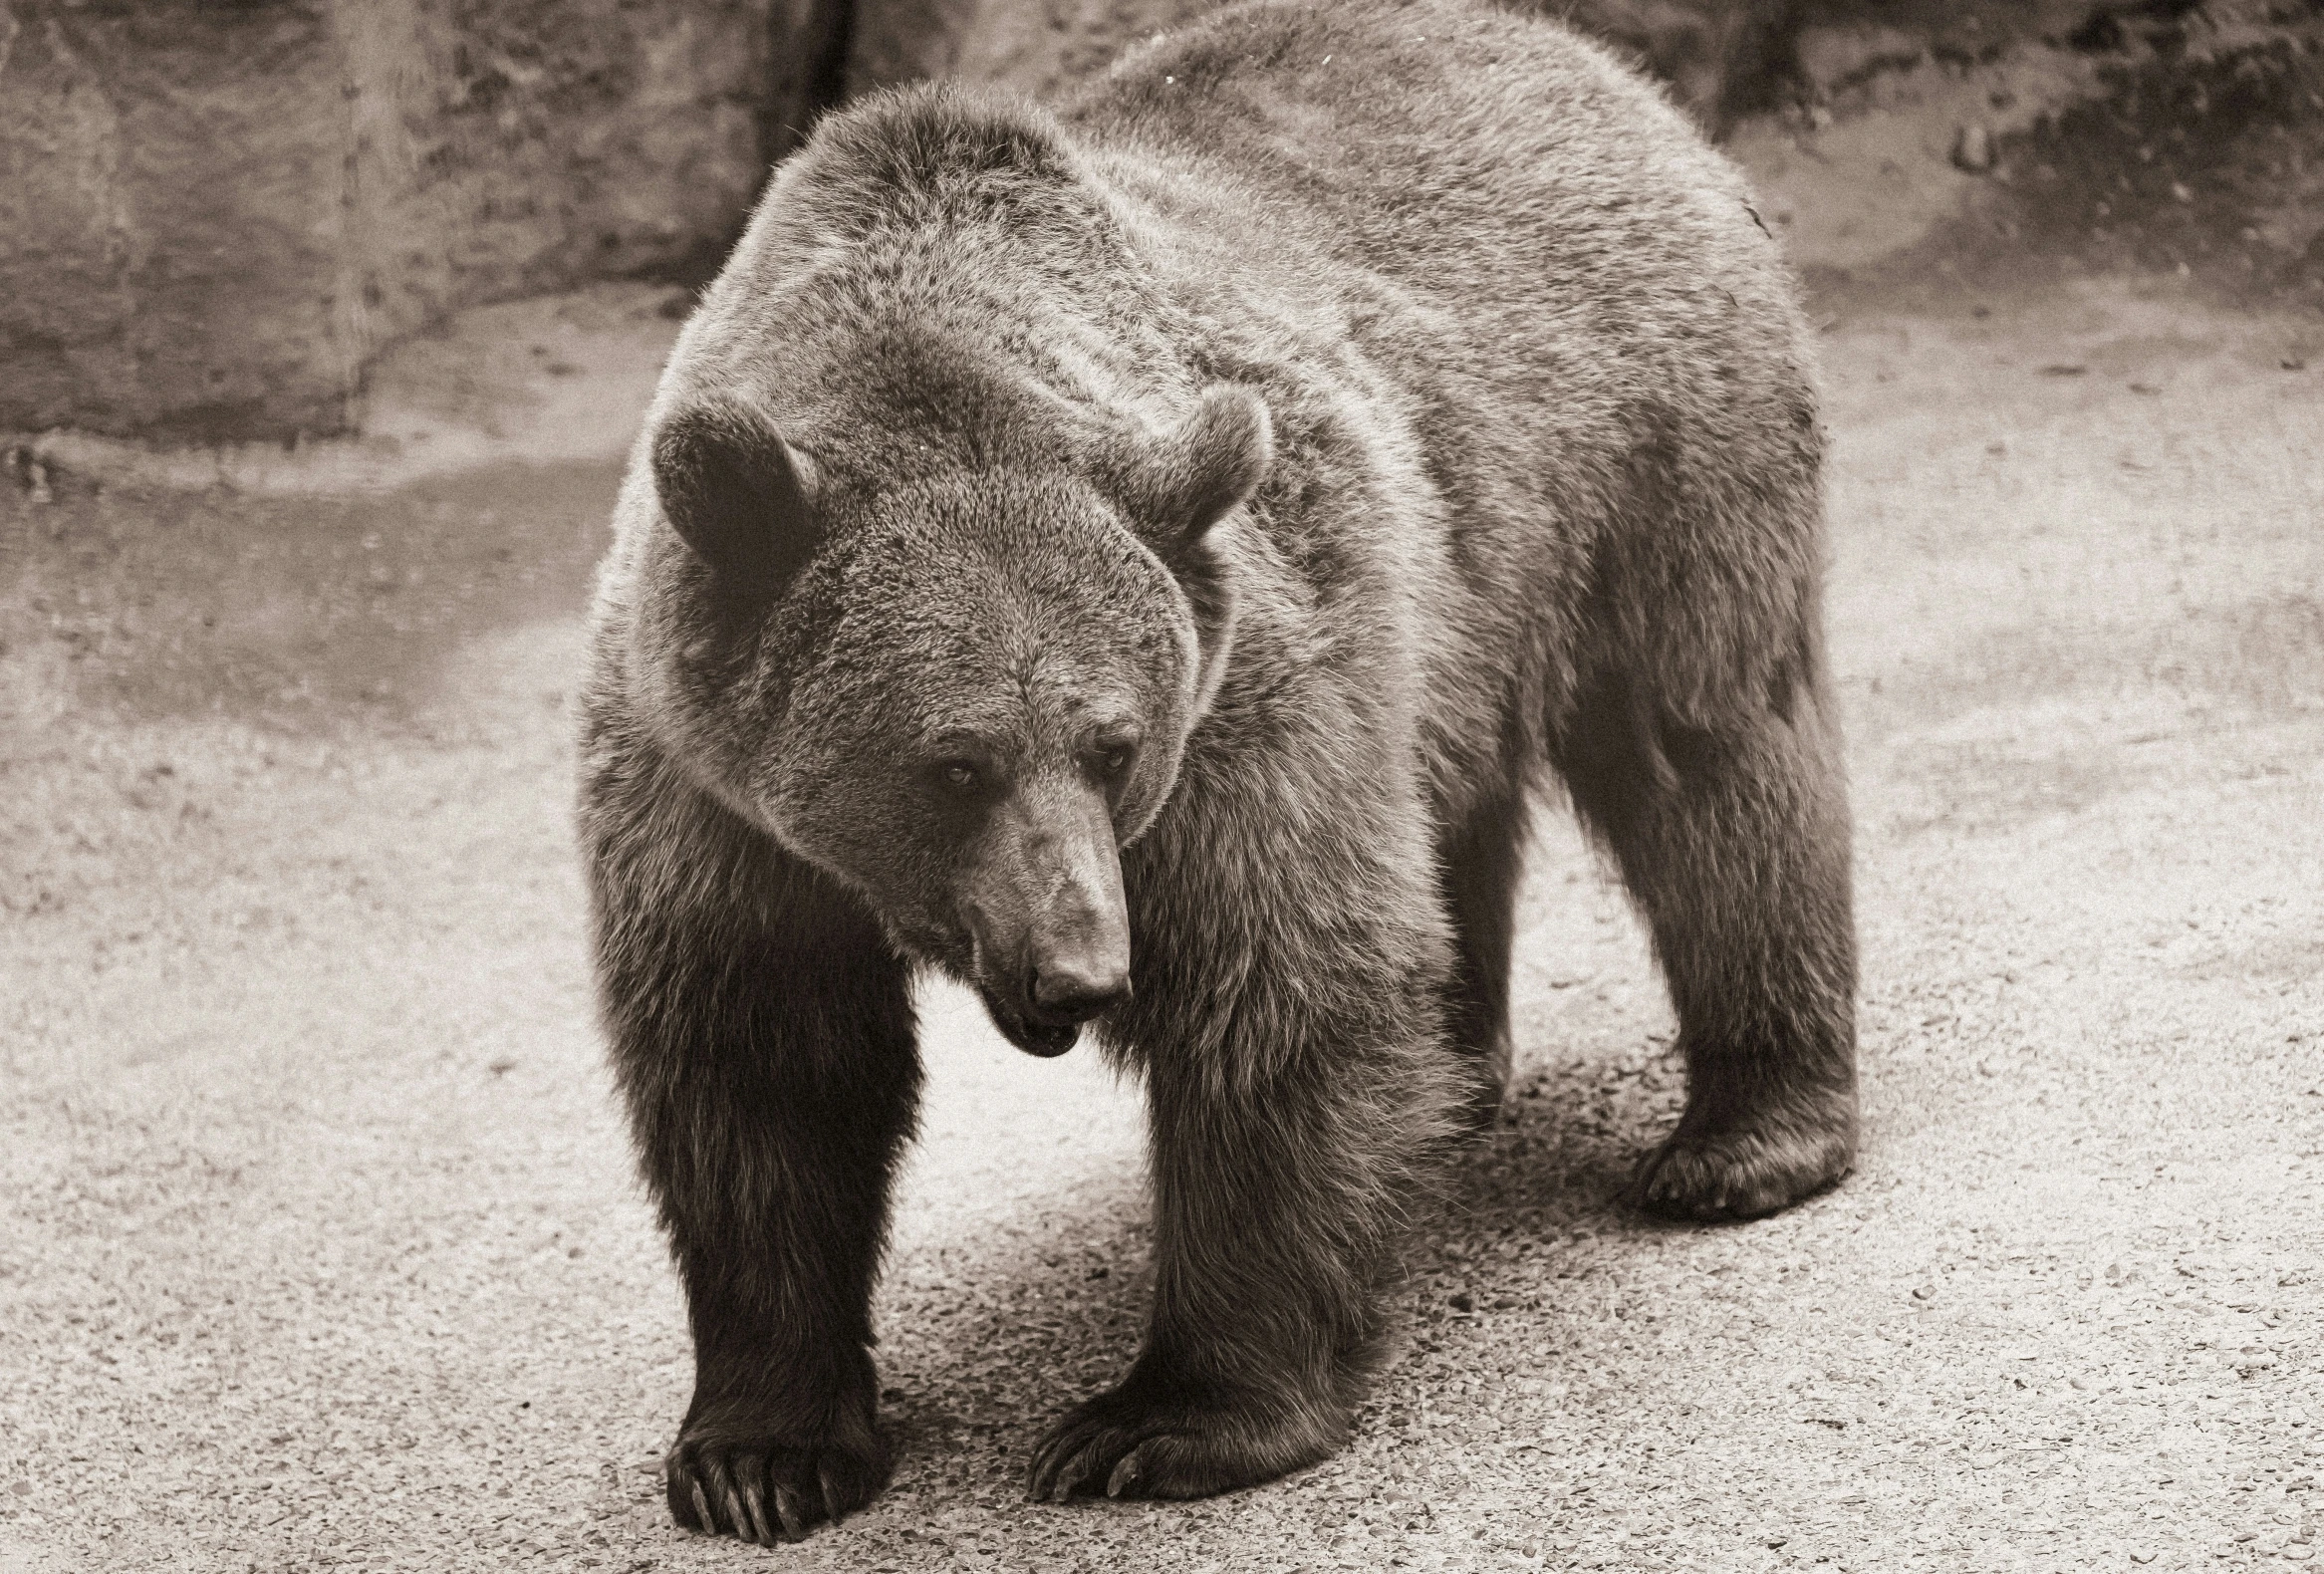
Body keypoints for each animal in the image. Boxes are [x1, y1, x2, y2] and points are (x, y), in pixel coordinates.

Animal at [576, 0, 1850, 1543]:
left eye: (1111, 742)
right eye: (952, 762)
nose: (1081, 968)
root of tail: (1585, 62)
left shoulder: (1240, 698)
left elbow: (1282, 982)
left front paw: (1161, 1421)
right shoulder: (705, 792)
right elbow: (761, 1065)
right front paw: (759, 1452)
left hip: (1646, 451)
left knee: (1710, 759)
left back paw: (1743, 1136)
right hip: (1465, 602)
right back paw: (1459, 1073)